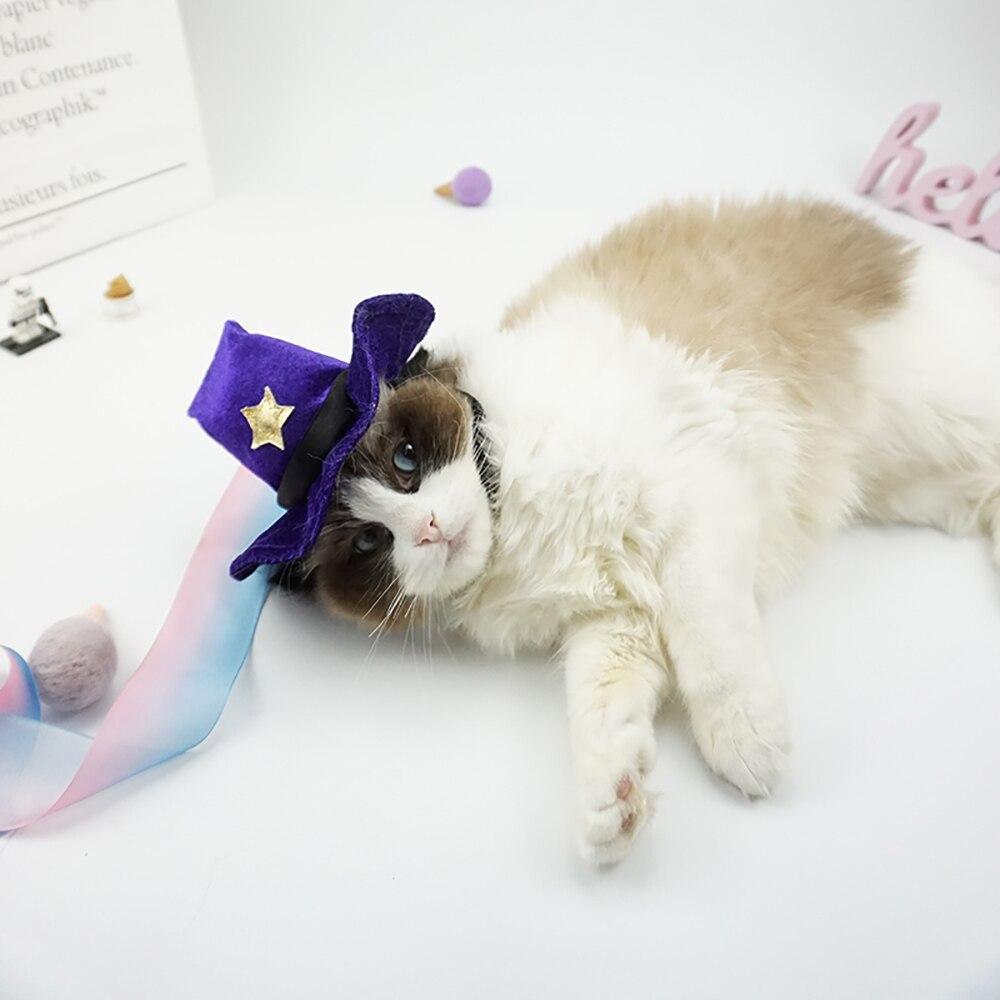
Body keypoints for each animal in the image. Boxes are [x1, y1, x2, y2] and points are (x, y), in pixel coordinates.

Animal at [284, 196, 1000, 864]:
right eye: (371, 543)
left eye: (407, 463)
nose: (429, 529)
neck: (510, 502)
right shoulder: (614, 617)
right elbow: (599, 708)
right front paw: (613, 800)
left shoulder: (697, 508)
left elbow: (710, 650)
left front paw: (743, 737)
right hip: (921, 484)